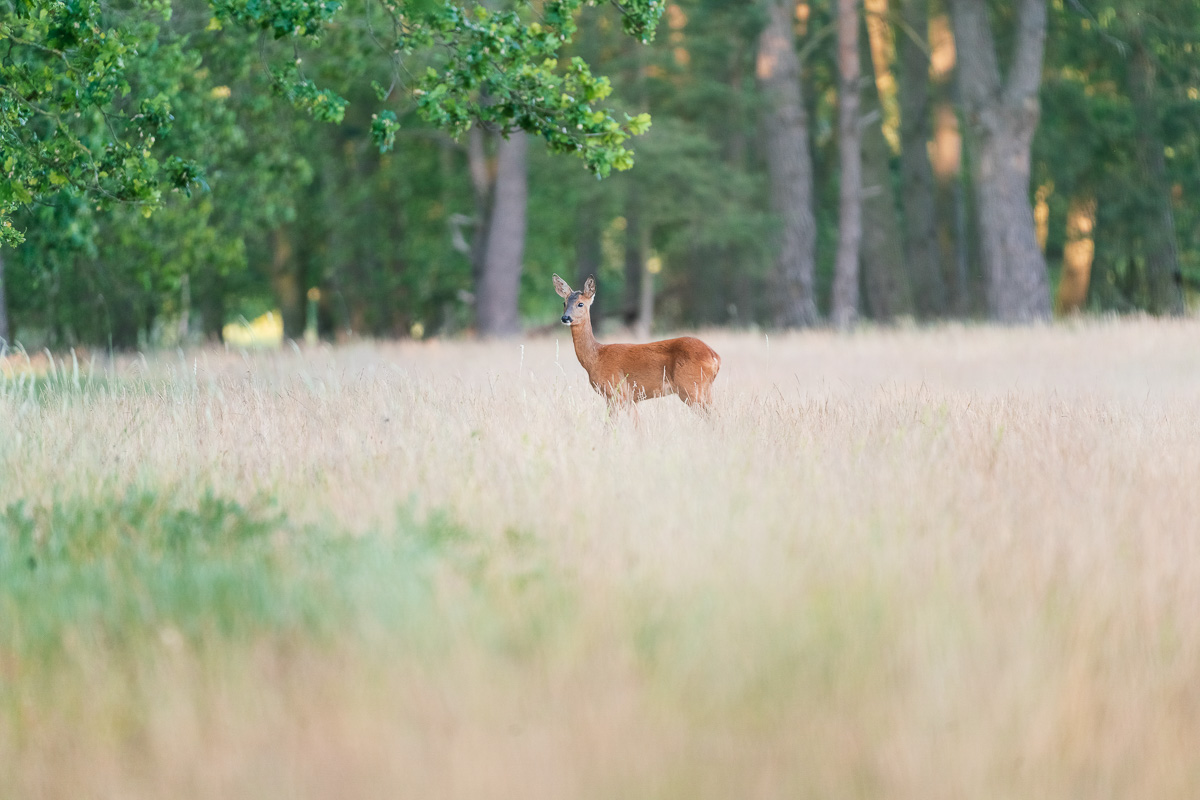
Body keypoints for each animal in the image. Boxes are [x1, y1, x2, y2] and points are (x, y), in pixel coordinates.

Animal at [553, 274, 721, 410]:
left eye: (580, 303)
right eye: (564, 303)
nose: (565, 318)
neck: (596, 357)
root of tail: (715, 357)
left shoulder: (617, 392)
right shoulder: (631, 398)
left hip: (690, 387)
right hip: (704, 389)